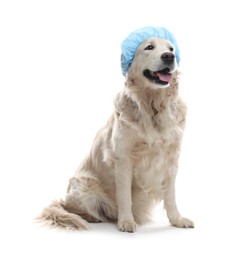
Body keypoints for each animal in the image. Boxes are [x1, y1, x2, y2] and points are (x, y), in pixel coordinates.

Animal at [39, 27, 193, 233]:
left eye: (171, 48)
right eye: (149, 47)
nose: (169, 56)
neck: (152, 106)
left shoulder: (171, 159)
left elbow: (171, 196)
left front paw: (177, 220)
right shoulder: (123, 159)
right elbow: (125, 197)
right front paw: (126, 222)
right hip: (83, 185)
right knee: (75, 209)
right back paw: (92, 217)